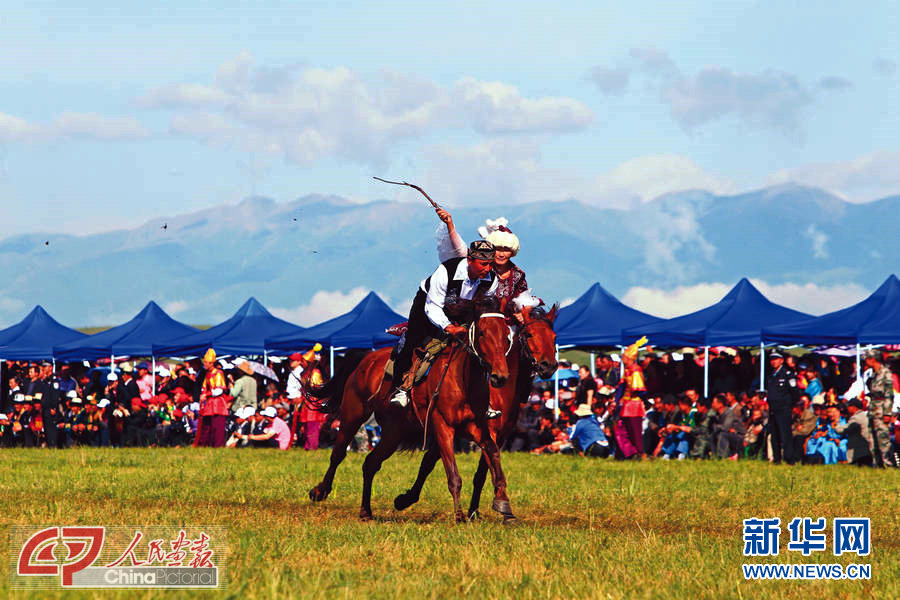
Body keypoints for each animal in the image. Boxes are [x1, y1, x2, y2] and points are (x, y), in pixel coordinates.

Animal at [308, 310, 512, 520]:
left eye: (506, 335)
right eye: (482, 334)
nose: (500, 376)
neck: (462, 379)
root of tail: (367, 357)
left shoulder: (476, 426)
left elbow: (493, 453)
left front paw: (503, 504)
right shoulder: (443, 427)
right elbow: (453, 475)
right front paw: (459, 517)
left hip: (393, 433)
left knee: (370, 463)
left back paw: (366, 511)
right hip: (353, 415)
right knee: (338, 453)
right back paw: (319, 491)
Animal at [392, 304, 556, 520]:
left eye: (554, 336)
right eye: (529, 334)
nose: (549, 366)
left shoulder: (495, 435)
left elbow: (481, 472)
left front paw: (484, 509)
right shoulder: (458, 427)